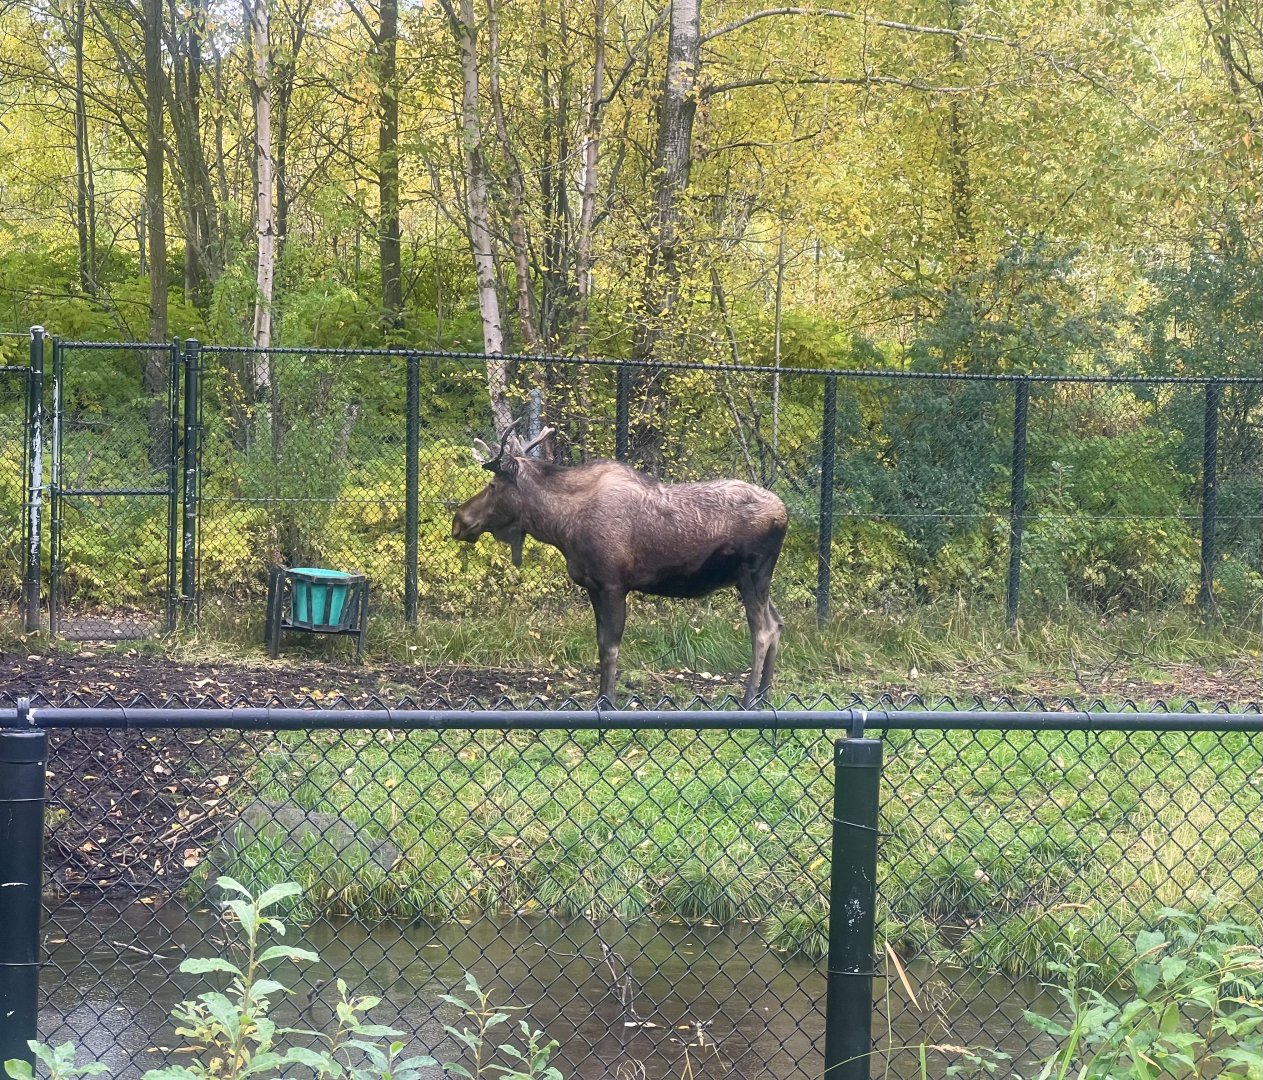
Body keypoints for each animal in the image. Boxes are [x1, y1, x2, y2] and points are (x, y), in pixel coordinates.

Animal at [451, 424, 788, 708]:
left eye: (493, 485)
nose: (459, 521)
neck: (561, 526)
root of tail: (784, 514)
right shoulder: (593, 586)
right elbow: (602, 644)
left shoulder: (612, 584)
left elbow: (610, 648)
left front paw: (607, 700)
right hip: (754, 580)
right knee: (777, 623)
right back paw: (765, 695)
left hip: (752, 573)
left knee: (763, 630)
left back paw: (749, 699)